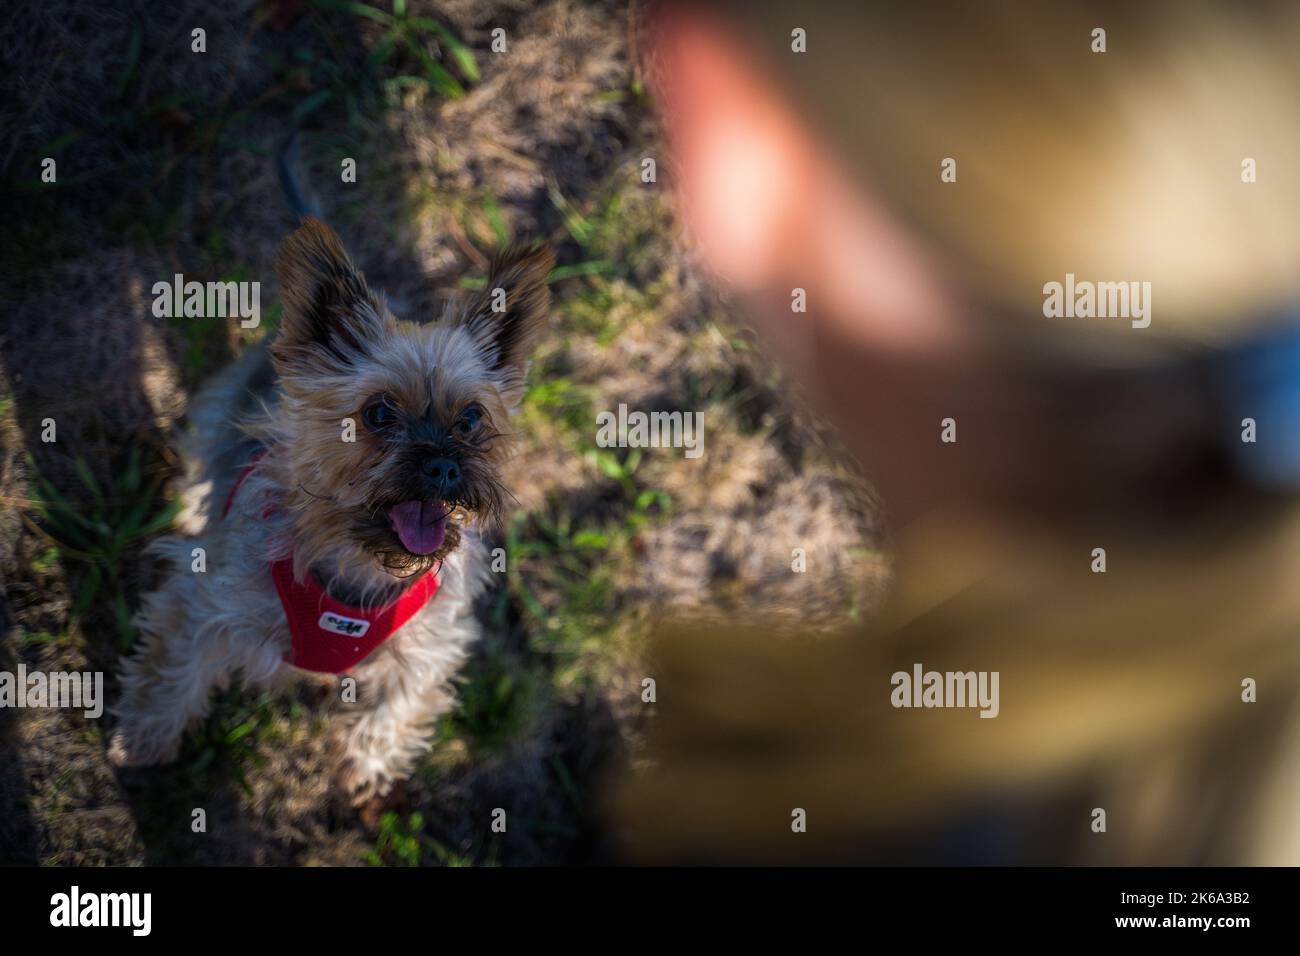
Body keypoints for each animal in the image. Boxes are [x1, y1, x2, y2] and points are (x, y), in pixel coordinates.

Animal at [111, 214, 553, 801]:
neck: (360, 566)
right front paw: (144, 736)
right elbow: (172, 672)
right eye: (380, 413)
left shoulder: (431, 645)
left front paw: (366, 763)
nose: (443, 465)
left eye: (472, 419)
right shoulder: (202, 605)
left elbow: (402, 703)